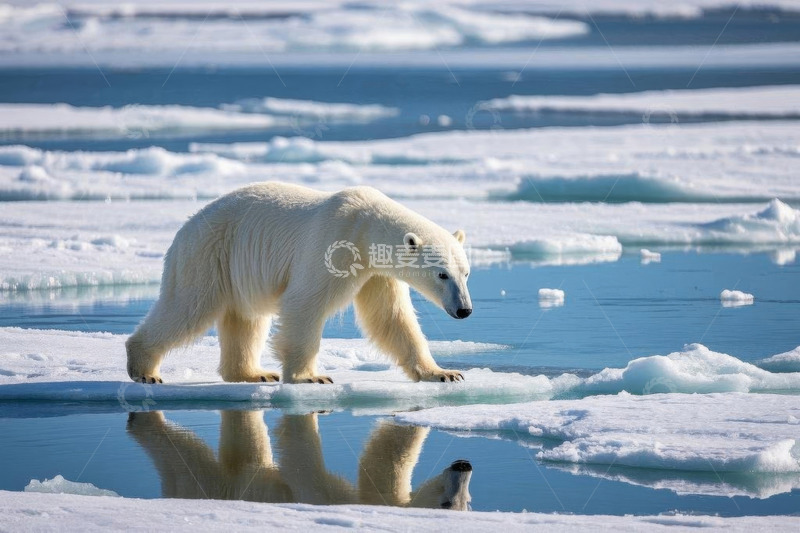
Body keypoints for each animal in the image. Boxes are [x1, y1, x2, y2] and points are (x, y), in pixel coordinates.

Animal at [126, 182, 472, 385]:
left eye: (466, 272)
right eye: (442, 274)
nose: (464, 310)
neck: (365, 226)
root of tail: (185, 228)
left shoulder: (377, 272)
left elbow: (391, 318)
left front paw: (443, 373)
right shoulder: (334, 243)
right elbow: (305, 302)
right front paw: (309, 377)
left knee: (245, 320)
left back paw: (254, 373)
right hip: (208, 254)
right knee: (187, 308)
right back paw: (144, 370)